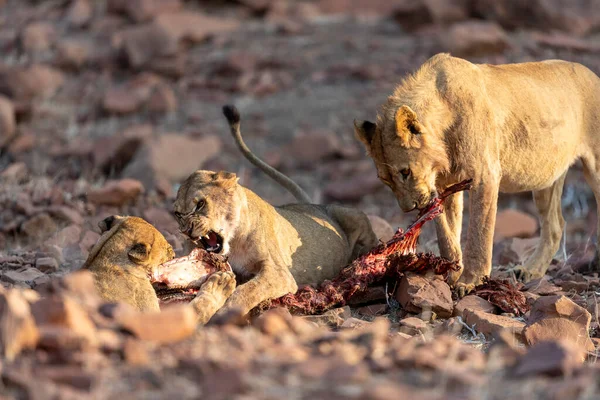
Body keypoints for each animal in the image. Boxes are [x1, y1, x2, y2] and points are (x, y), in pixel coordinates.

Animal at [172, 104, 380, 318]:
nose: (186, 231)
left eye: (200, 204)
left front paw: (226, 311)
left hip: (352, 214)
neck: (233, 242)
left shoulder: (279, 273)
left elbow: (248, 290)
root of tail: (313, 205)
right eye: (178, 214)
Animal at [354, 52, 600, 296]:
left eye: (405, 172)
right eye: (386, 181)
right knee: (555, 225)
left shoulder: (485, 175)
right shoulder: (445, 185)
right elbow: (446, 232)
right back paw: (529, 271)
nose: (409, 208)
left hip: (595, 167)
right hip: (546, 179)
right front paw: (450, 272)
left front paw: (470, 281)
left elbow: (479, 233)